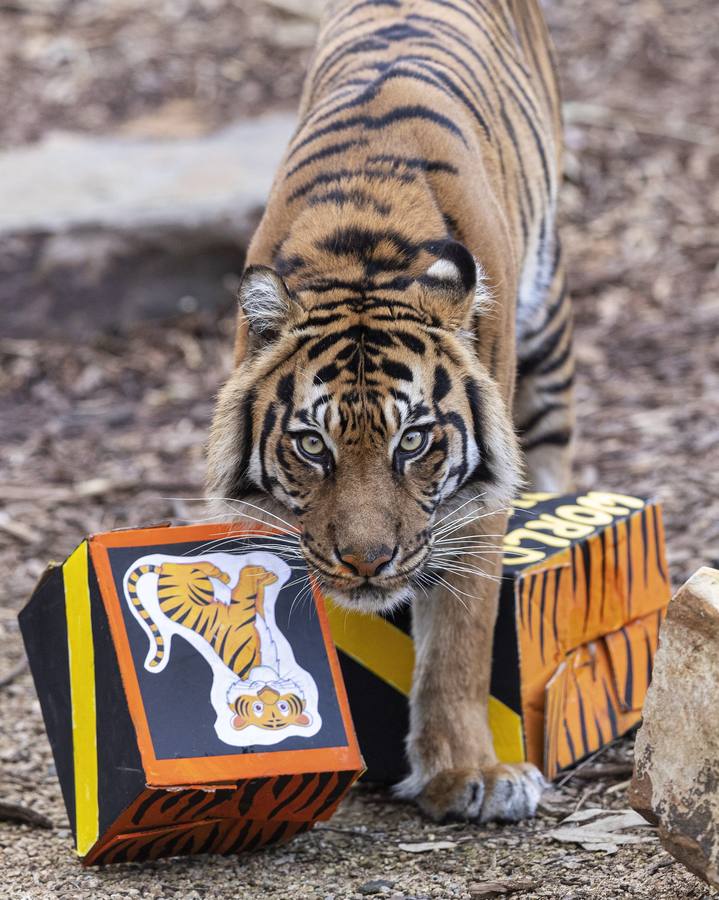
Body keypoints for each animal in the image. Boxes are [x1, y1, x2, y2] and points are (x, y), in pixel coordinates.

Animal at [127, 564, 312, 732]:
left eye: (283, 707)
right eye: (258, 708)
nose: (268, 693)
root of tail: (162, 569)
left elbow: (258, 599)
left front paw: (264, 578)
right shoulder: (241, 610)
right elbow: (246, 585)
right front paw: (259, 574)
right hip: (198, 584)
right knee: (193, 565)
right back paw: (220, 574)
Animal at [207, 0, 572, 820]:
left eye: (413, 442)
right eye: (312, 445)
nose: (367, 563)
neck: (363, 260)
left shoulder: (474, 507)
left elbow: (461, 640)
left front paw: (469, 773)